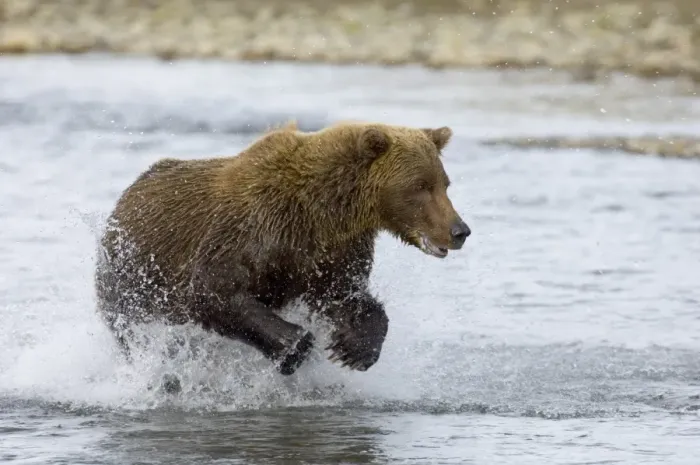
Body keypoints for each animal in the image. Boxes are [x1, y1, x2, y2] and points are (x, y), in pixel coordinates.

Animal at [95, 121, 470, 376]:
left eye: (445, 183)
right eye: (420, 185)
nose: (460, 231)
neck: (323, 210)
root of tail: (125, 197)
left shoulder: (331, 251)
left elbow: (345, 295)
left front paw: (353, 348)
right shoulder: (250, 230)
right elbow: (213, 290)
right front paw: (296, 347)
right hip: (132, 281)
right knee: (139, 336)